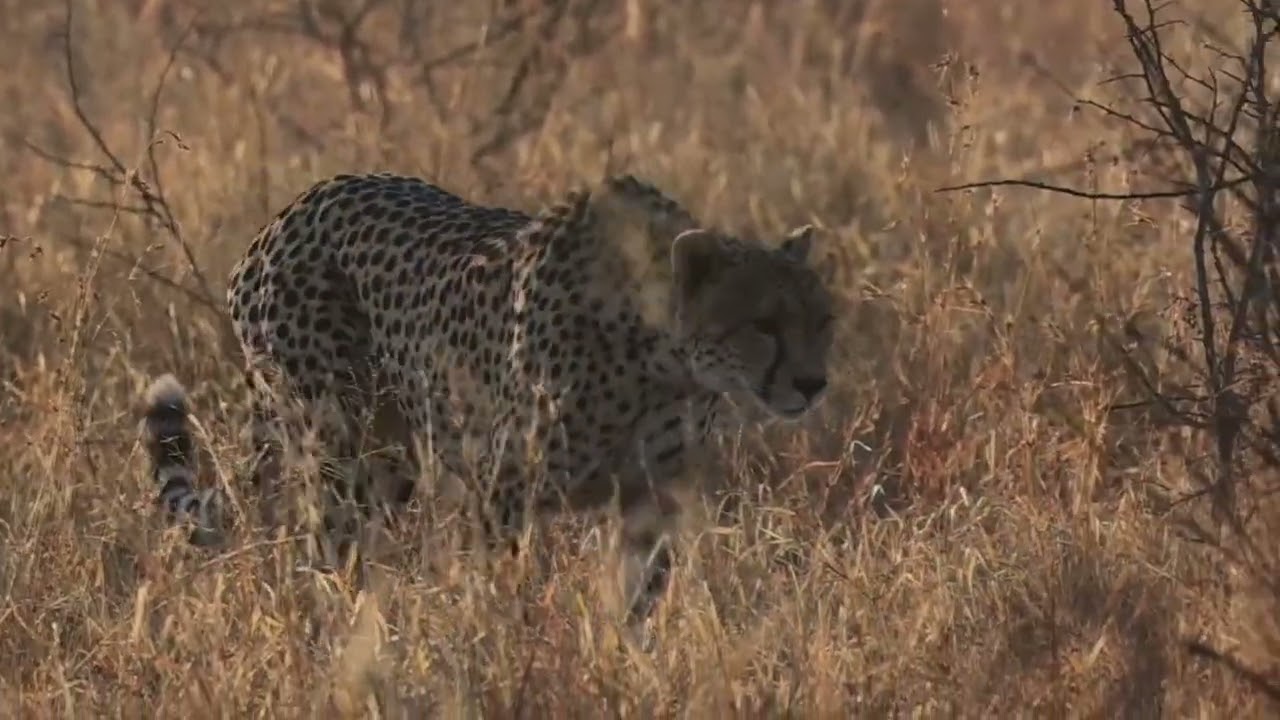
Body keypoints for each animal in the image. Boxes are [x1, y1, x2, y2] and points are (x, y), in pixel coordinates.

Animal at [141, 171, 834, 623]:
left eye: (822, 321)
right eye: (763, 325)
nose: (813, 384)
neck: (658, 361)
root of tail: (289, 211)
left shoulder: (651, 496)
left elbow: (636, 600)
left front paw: (623, 664)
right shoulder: (505, 489)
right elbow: (510, 589)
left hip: (389, 463)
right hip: (335, 445)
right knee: (325, 551)